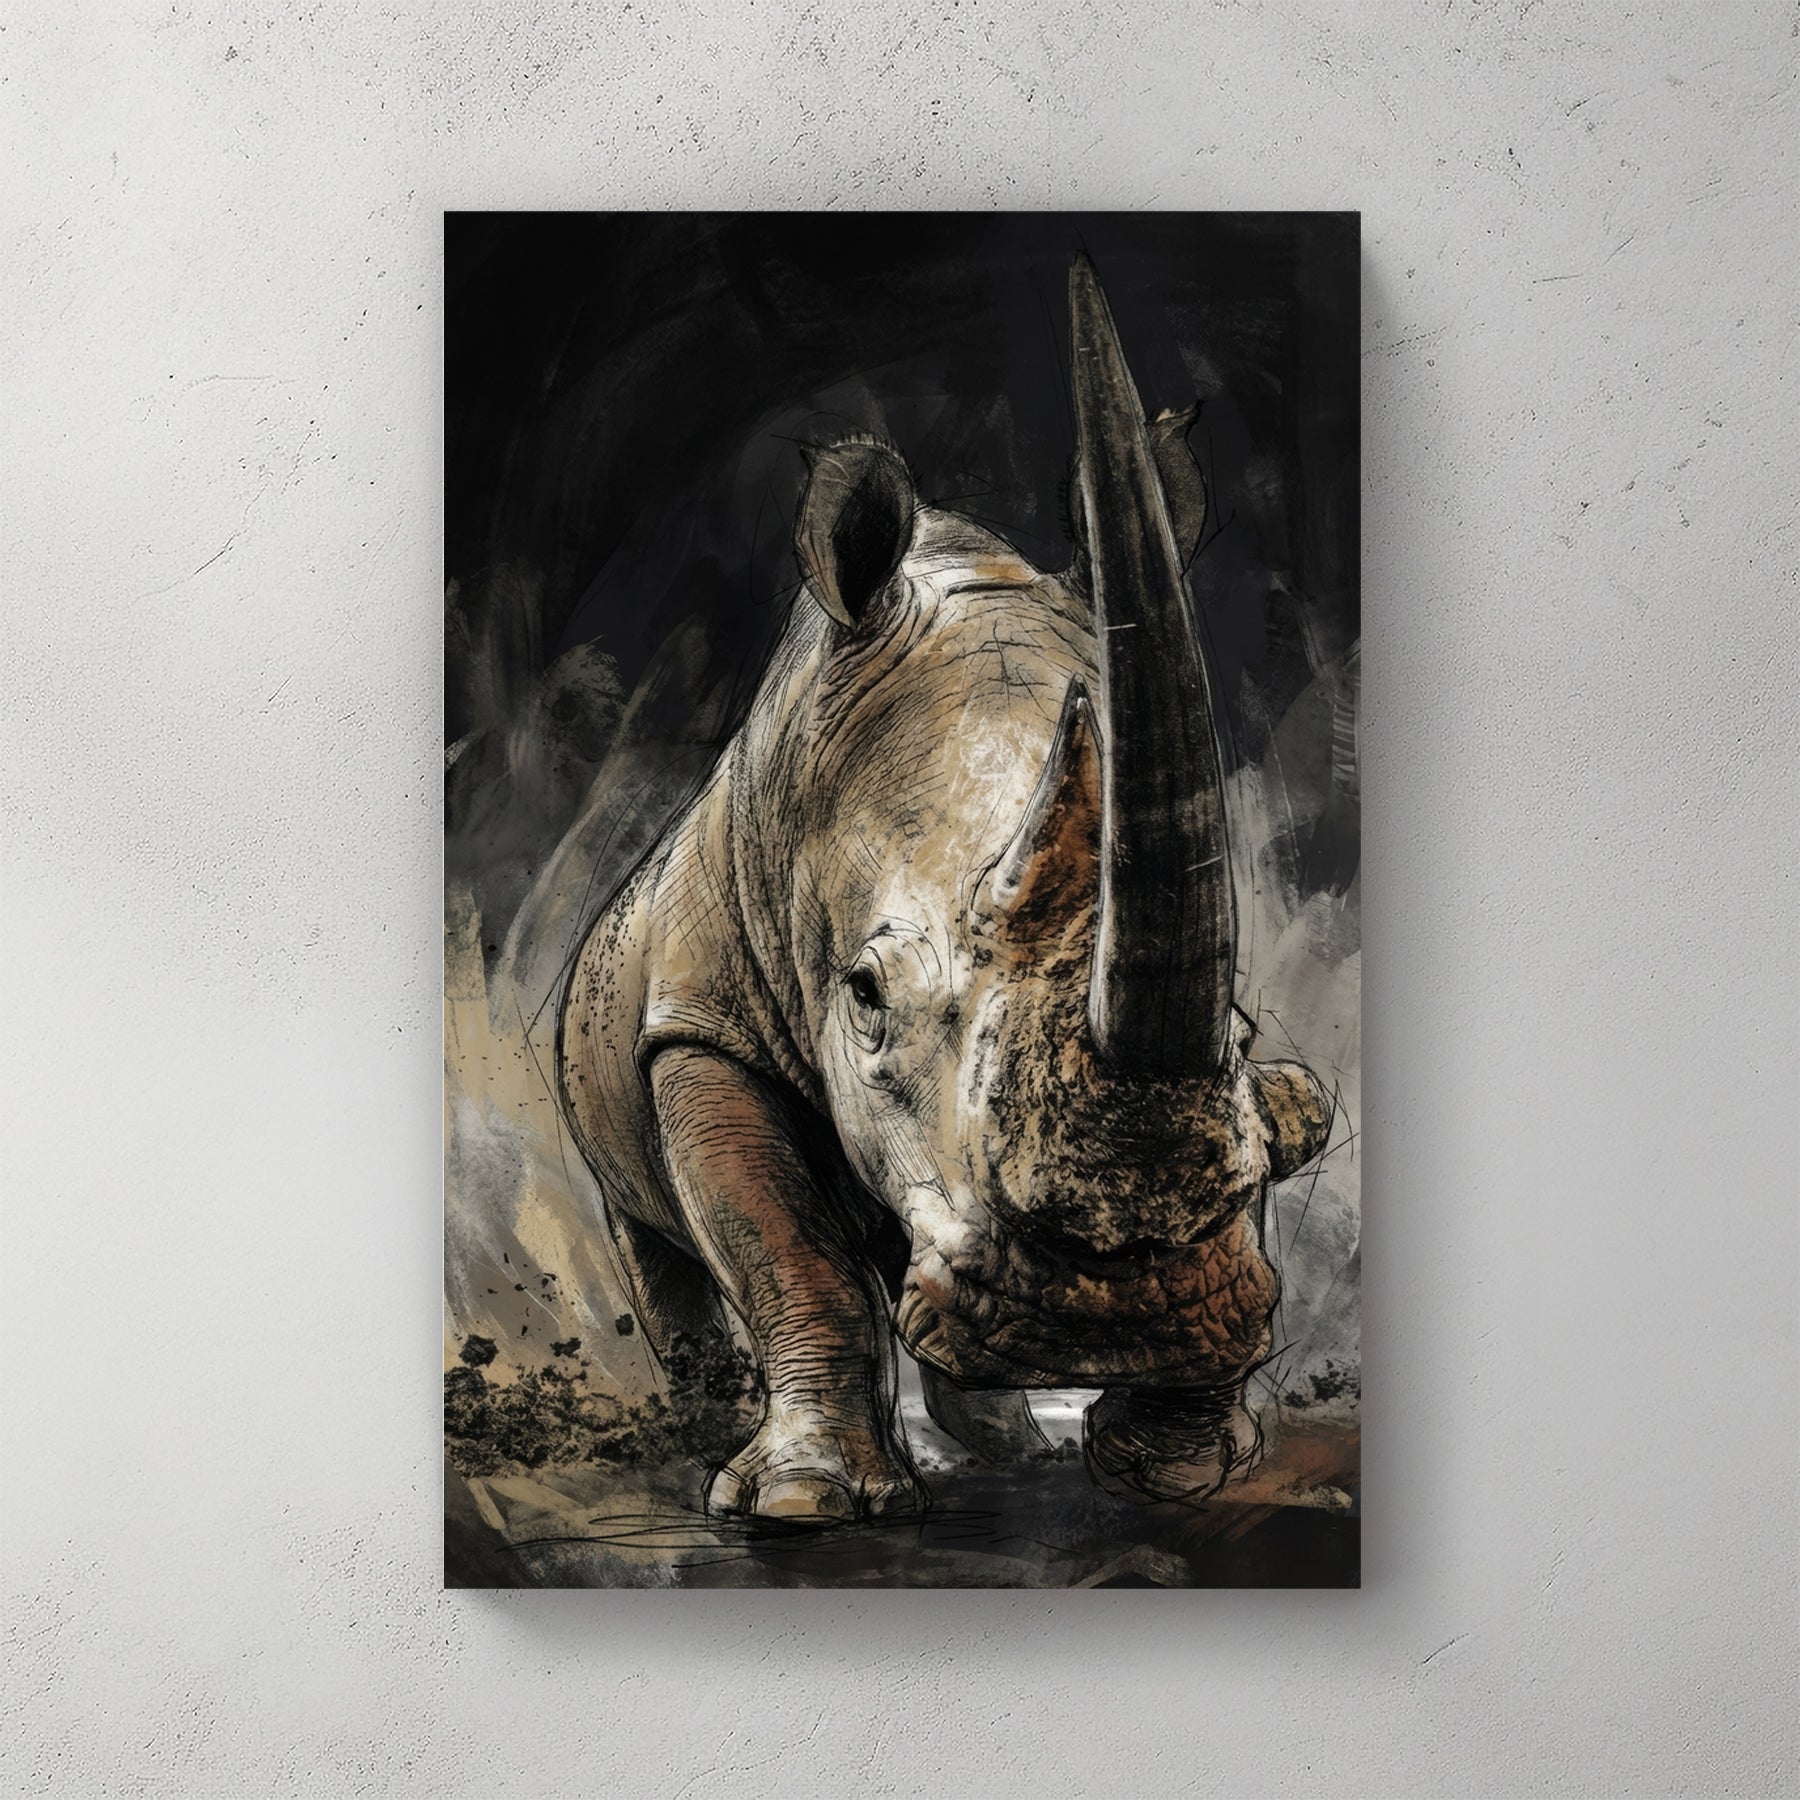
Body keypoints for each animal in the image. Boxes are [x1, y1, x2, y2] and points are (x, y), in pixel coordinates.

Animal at [556, 255, 1332, 1523]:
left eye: (1241, 1020)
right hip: (607, 999)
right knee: (653, 1230)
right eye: (866, 995)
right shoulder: (699, 1023)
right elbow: (786, 1249)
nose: (1115, 1321)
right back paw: (699, 1428)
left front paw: (1177, 1470)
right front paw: (802, 1505)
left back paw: (1005, 1449)